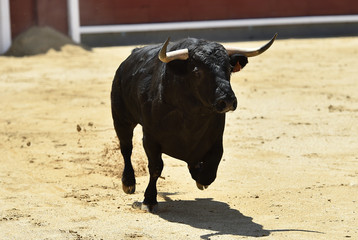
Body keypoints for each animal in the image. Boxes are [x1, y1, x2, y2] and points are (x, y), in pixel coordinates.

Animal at [111, 34, 276, 212]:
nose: (227, 101)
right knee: (126, 148)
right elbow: (155, 168)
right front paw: (149, 200)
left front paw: (200, 178)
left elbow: (211, 168)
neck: (192, 115)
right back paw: (128, 183)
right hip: (121, 118)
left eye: (229, 69)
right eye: (197, 72)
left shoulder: (216, 138)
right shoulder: (150, 138)